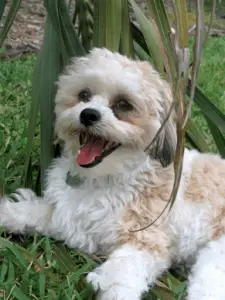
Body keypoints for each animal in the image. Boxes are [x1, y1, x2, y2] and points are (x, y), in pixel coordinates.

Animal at [1, 48, 225, 298]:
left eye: (123, 104)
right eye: (84, 94)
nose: (88, 114)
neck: (104, 178)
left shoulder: (146, 239)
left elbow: (121, 273)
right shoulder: (67, 217)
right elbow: (32, 212)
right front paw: (6, 214)